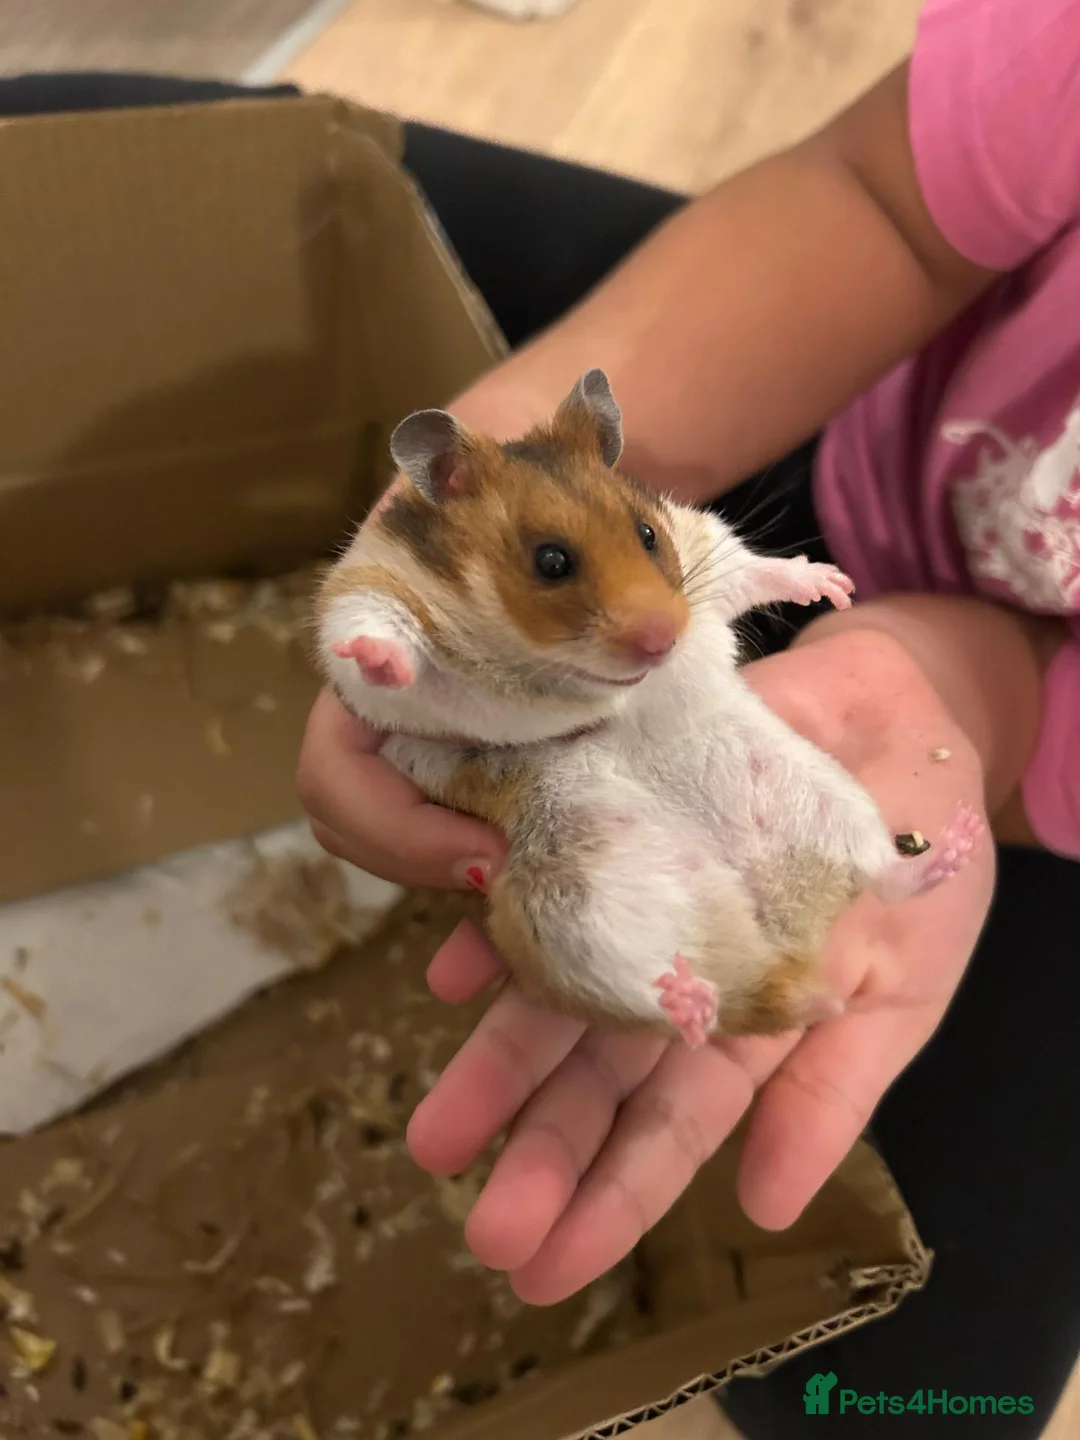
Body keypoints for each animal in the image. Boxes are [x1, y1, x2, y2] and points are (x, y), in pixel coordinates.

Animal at [314, 369, 983, 1045]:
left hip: (826, 802)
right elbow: (380, 638)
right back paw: (688, 998)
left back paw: (958, 844)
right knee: (675, 995)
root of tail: (783, 948)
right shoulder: (371, 593)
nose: (666, 640)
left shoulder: (703, 546)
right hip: (576, 917)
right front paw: (379, 658)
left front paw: (831, 585)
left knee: (883, 877)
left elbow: (748, 570)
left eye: (647, 534)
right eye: (550, 561)